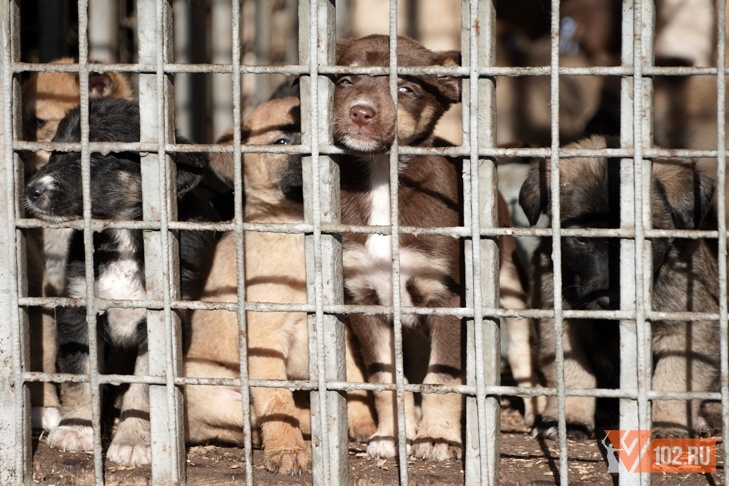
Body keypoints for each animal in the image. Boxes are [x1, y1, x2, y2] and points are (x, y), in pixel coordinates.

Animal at [24, 97, 213, 466]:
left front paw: (134, 441)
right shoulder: (78, 308)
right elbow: (80, 375)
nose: (32, 191)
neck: (122, 237)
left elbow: (143, 388)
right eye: (56, 152)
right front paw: (77, 428)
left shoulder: (161, 321)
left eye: (98, 156)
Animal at [182, 97, 376, 472]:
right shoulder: (265, 338)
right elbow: (276, 402)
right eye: (282, 142)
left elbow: (353, 377)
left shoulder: (338, 327)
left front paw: (363, 421)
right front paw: (288, 450)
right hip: (206, 385)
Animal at [520, 135, 720, 438]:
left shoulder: (689, 332)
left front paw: (669, 426)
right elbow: (573, 375)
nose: (610, 300)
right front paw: (570, 418)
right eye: (581, 239)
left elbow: (671, 381)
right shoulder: (559, 326)